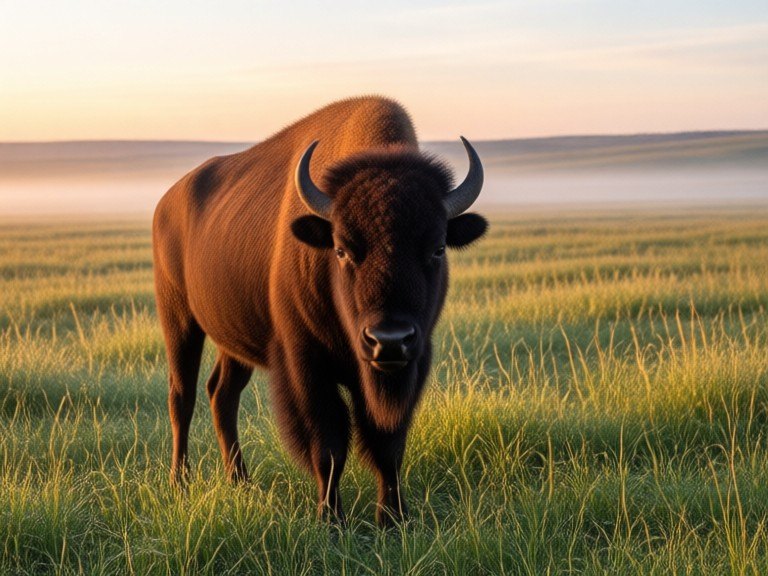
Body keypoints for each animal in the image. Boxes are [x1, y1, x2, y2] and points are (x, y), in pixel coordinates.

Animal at [152, 96, 487, 526]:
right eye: (342, 249)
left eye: (438, 248)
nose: (389, 341)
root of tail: (166, 202)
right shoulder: (307, 366)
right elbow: (328, 446)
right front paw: (331, 520)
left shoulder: (411, 365)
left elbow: (388, 445)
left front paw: (394, 519)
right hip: (179, 320)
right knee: (183, 396)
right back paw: (180, 483)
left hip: (233, 341)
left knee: (221, 394)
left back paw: (241, 482)